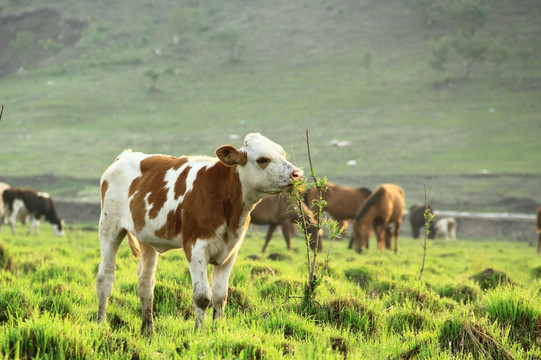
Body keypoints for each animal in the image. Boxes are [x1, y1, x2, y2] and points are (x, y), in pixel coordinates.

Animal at [95, 134, 302, 334]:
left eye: (283, 154)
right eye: (263, 159)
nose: (297, 174)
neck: (224, 197)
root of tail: (124, 156)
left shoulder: (231, 250)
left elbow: (220, 295)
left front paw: (219, 330)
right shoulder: (195, 247)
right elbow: (202, 296)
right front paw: (199, 332)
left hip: (146, 238)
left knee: (146, 282)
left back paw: (148, 330)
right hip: (109, 227)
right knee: (105, 277)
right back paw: (101, 324)